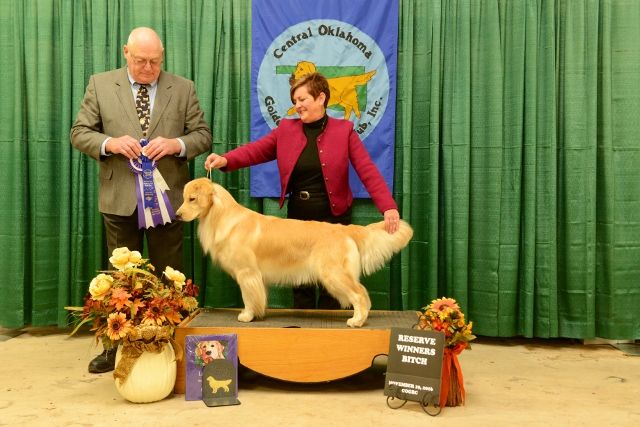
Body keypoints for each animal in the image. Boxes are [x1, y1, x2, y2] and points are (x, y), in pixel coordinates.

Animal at [176, 178, 413, 327]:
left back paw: (357, 320)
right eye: (184, 197)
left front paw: (247, 315)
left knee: (360, 294)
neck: (221, 216)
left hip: (334, 274)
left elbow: (248, 297)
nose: (177, 215)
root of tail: (344, 229)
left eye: (192, 199)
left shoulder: (247, 273)